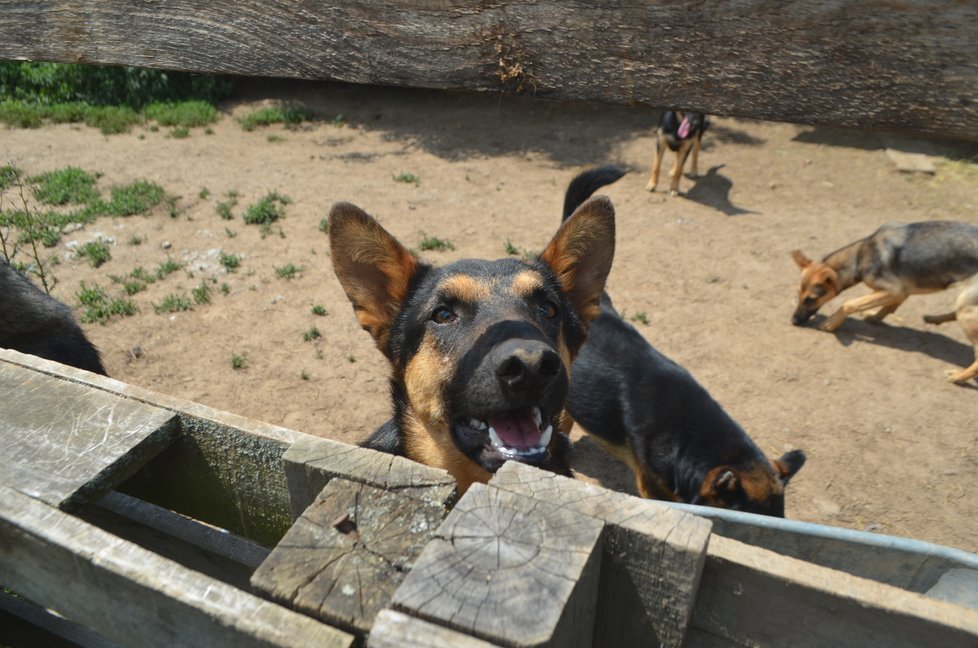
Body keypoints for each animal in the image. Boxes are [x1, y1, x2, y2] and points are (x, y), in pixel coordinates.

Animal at [788, 221, 976, 384]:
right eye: (798, 295)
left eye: (811, 299)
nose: (794, 321)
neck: (859, 256)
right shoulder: (900, 292)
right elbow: (885, 305)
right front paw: (874, 317)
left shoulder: (894, 289)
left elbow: (849, 303)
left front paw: (831, 323)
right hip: (965, 303)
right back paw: (934, 319)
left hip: (965, 306)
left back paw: (958, 376)